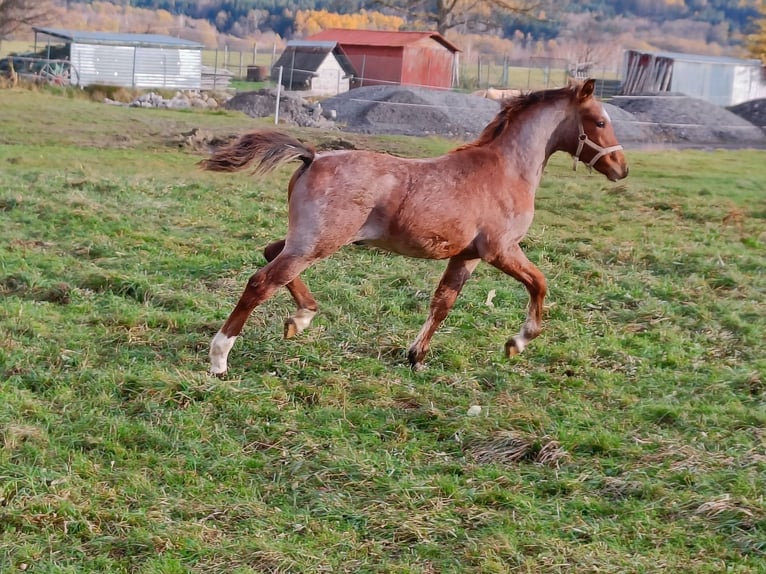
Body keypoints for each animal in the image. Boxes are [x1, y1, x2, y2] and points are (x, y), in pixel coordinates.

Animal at [200, 80, 632, 378]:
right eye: (599, 121)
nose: (621, 169)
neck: (507, 170)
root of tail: (313, 157)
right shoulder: (501, 250)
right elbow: (539, 283)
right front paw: (517, 343)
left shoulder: (467, 256)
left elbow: (443, 303)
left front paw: (416, 356)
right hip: (317, 243)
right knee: (261, 281)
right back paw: (220, 359)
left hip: (308, 240)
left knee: (271, 252)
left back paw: (302, 317)